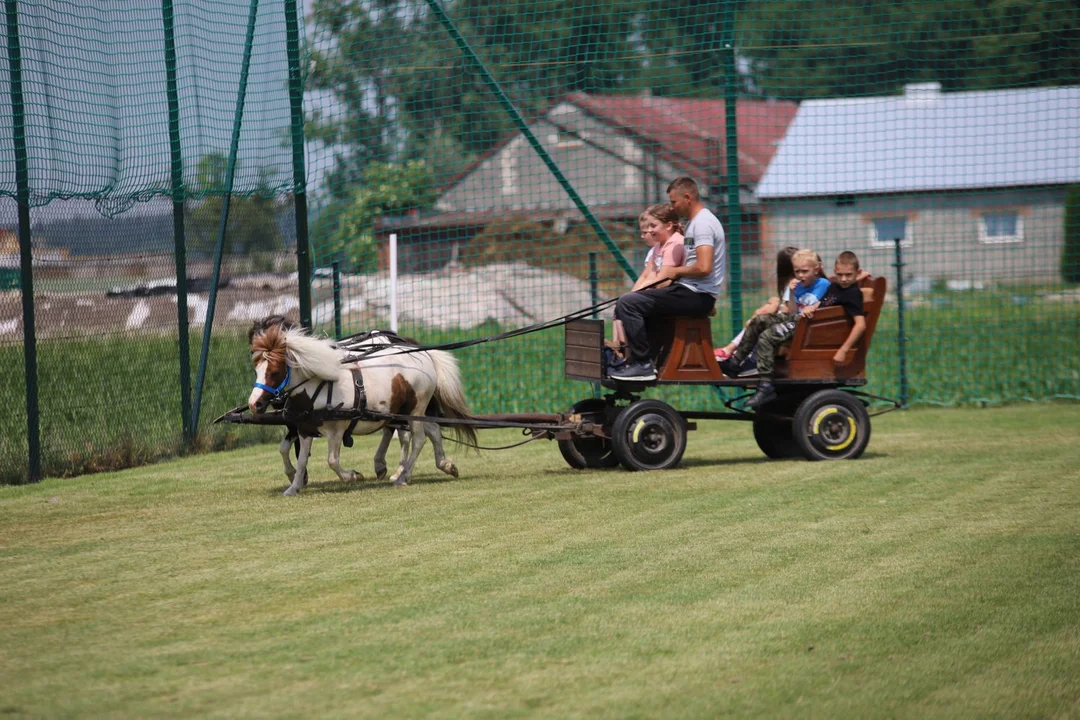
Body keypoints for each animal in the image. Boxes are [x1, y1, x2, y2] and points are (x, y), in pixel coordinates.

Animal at [250, 321, 479, 496]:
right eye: (256, 369)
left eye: (274, 372)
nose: (254, 404)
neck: (318, 385)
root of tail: (425, 355)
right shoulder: (304, 428)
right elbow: (301, 460)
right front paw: (294, 487)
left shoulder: (336, 430)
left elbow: (332, 460)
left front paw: (353, 476)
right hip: (408, 411)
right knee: (432, 431)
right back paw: (444, 465)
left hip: (415, 410)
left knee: (418, 439)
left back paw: (403, 476)